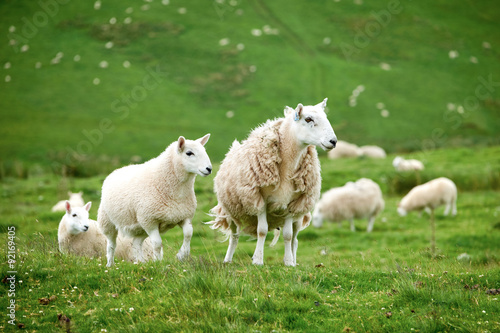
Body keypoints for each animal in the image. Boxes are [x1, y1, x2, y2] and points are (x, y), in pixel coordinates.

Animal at [98, 134, 212, 266]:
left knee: (136, 243)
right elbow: (157, 243)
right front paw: (158, 262)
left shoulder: (184, 216)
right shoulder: (150, 220)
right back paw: (110, 264)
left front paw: (181, 255)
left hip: (140, 227)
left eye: (204, 151)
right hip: (108, 222)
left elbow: (188, 234)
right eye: (189, 153)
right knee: (111, 245)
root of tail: (117, 170)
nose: (209, 169)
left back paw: (141, 263)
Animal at [207, 97, 336, 266]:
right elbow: (261, 231)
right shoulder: (259, 200)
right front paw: (258, 260)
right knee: (234, 236)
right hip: (232, 211)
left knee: (295, 239)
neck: (288, 167)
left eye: (326, 117)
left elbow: (288, 235)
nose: (333, 141)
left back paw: (293, 259)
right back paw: (227, 260)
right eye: (308, 119)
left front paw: (289, 262)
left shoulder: (291, 205)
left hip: (300, 213)